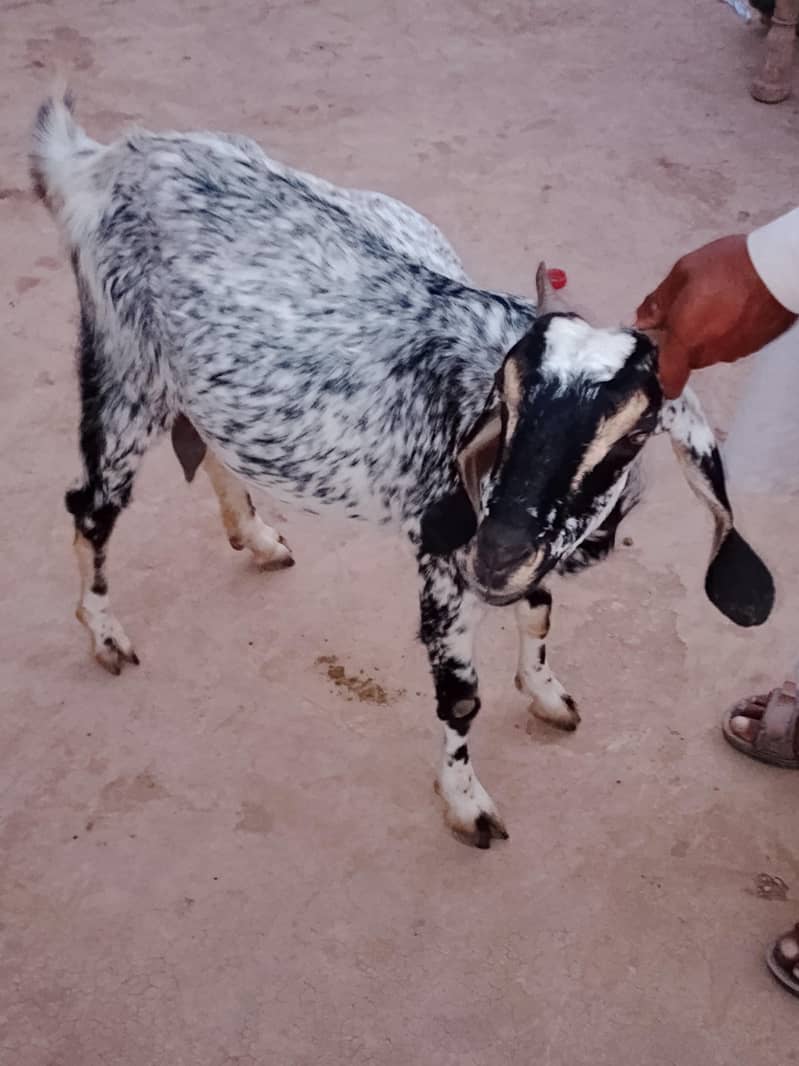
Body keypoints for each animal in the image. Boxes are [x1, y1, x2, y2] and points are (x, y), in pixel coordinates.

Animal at [31, 94, 774, 847]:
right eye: (504, 405)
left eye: (630, 439)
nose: (494, 554)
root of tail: (104, 158)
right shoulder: (442, 554)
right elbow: (461, 696)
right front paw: (467, 804)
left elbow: (538, 612)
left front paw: (544, 693)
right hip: (127, 369)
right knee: (90, 504)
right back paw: (106, 634)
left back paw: (256, 536)